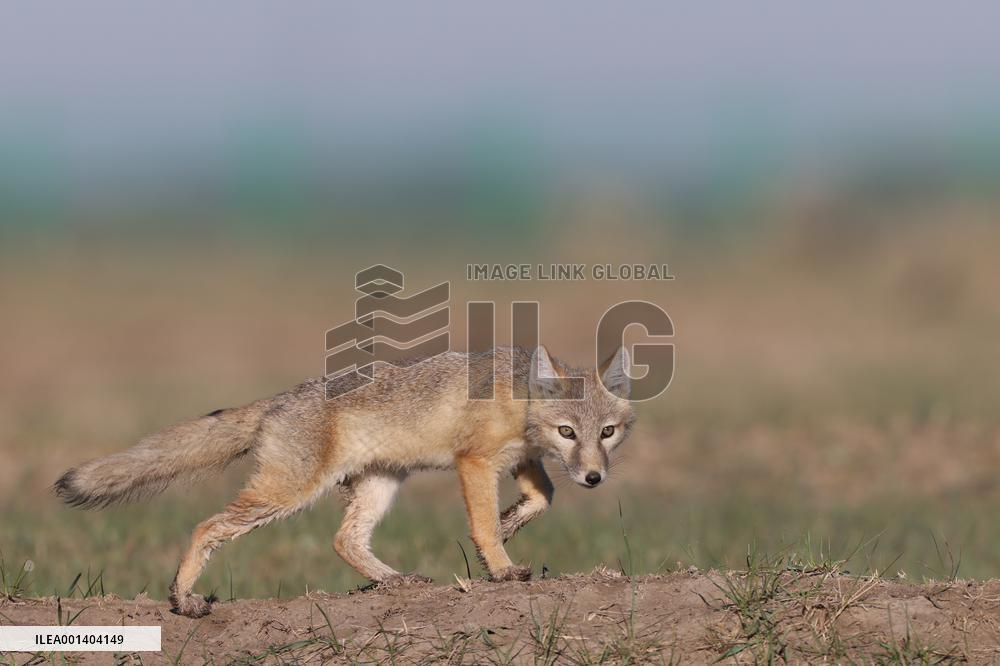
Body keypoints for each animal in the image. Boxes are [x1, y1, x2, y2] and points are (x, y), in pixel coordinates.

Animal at [54, 345, 635, 618]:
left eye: (607, 432)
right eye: (567, 431)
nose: (594, 477)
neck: (518, 400)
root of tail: (282, 398)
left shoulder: (521, 459)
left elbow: (545, 496)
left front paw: (514, 520)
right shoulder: (474, 463)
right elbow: (484, 525)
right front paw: (501, 567)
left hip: (380, 485)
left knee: (343, 540)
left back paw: (394, 580)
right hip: (286, 494)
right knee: (206, 526)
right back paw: (183, 597)